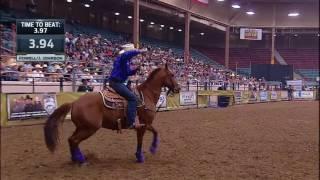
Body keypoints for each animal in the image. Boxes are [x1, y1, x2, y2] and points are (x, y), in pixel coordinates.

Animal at [43, 64, 180, 164]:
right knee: (74, 140)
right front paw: (144, 154)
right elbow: (144, 139)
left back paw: (76, 159)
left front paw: (147, 151)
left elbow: (154, 133)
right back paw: (81, 160)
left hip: (82, 127)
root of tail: (74, 102)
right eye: (172, 74)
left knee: (71, 140)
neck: (147, 95)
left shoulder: (144, 125)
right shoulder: (144, 124)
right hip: (89, 128)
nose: (178, 88)